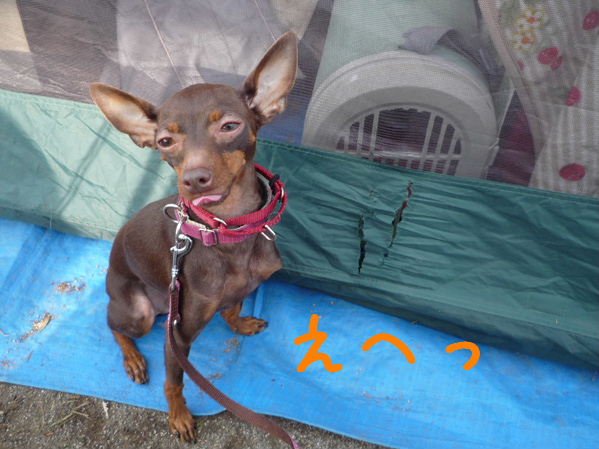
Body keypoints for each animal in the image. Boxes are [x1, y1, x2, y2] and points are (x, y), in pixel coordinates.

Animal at [90, 31, 298, 441]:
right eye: (165, 142)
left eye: (230, 126)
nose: (194, 180)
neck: (228, 232)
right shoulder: (178, 338)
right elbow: (175, 383)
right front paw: (179, 417)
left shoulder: (246, 286)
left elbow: (232, 306)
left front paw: (240, 323)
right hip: (139, 312)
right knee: (113, 324)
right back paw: (133, 358)